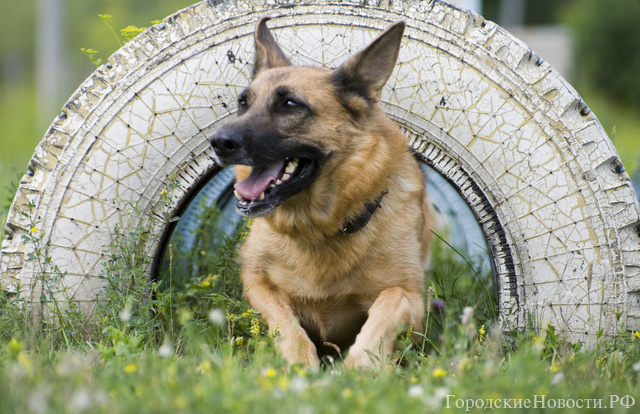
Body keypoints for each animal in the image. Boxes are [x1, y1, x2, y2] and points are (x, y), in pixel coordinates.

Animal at [212, 18, 432, 368]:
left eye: (290, 104)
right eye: (243, 103)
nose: (218, 143)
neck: (320, 230)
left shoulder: (412, 299)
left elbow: (388, 304)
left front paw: (358, 367)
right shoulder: (255, 280)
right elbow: (285, 322)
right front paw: (300, 365)